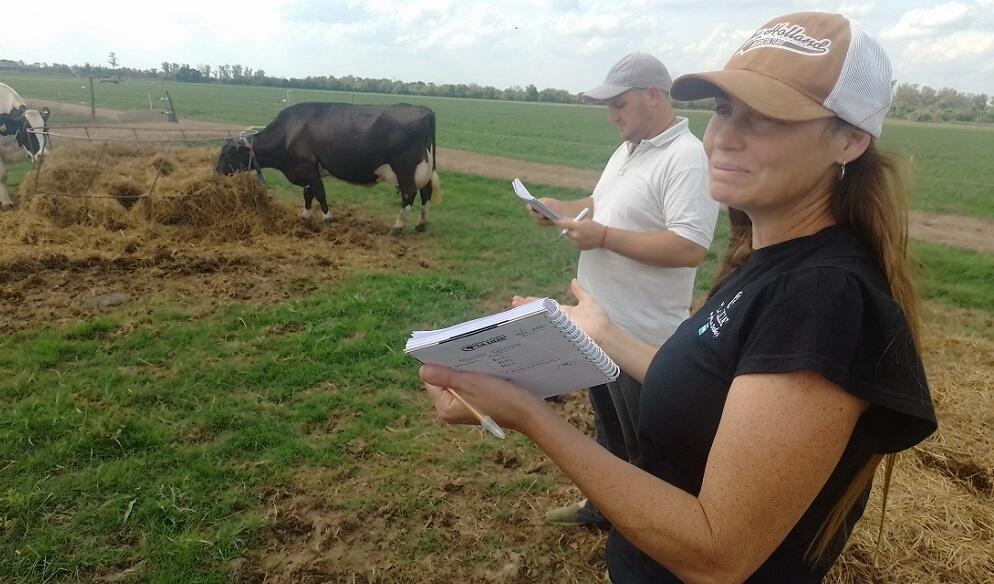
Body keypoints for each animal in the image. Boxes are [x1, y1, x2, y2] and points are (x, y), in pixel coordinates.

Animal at [219, 102, 440, 233]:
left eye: (226, 154)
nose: (215, 171)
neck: (288, 133)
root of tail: (423, 109)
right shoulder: (306, 170)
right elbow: (308, 194)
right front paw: (305, 216)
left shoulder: (308, 165)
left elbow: (319, 192)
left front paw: (327, 217)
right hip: (424, 168)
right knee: (426, 192)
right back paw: (421, 224)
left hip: (406, 167)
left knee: (409, 194)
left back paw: (397, 227)